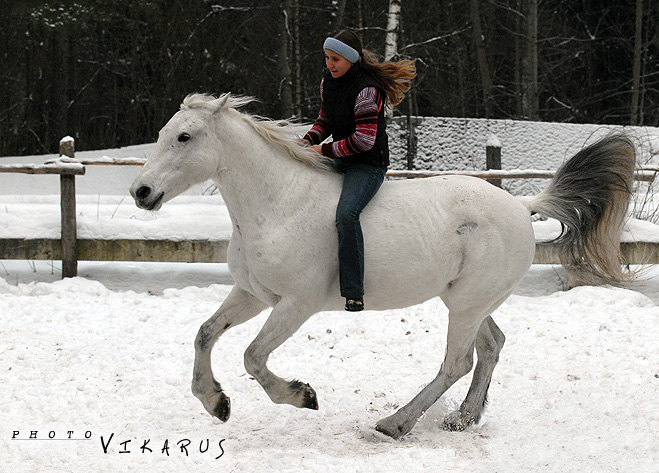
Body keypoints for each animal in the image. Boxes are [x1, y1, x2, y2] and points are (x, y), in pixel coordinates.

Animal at [130, 92, 636, 438]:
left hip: (467, 306)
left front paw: (301, 396)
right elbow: (205, 334)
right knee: (491, 347)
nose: (141, 192)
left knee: (457, 362)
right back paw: (462, 418)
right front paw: (214, 401)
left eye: (184, 137)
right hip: (469, 302)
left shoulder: (296, 304)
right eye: (162, 134)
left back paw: (396, 423)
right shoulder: (253, 295)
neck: (277, 205)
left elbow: (253, 356)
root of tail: (523, 205)